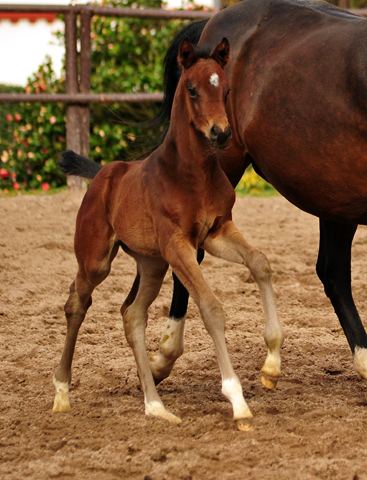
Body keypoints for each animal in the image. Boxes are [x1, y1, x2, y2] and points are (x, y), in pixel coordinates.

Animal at [52, 36, 284, 428]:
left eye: (226, 89)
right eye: (192, 88)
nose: (221, 133)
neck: (192, 173)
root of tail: (102, 175)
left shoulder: (216, 232)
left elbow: (259, 261)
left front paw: (271, 362)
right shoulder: (179, 245)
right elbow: (211, 307)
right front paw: (237, 401)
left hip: (152, 264)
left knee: (132, 314)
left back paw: (156, 406)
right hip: (97, 260)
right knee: (77, 303)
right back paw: (62, 393)